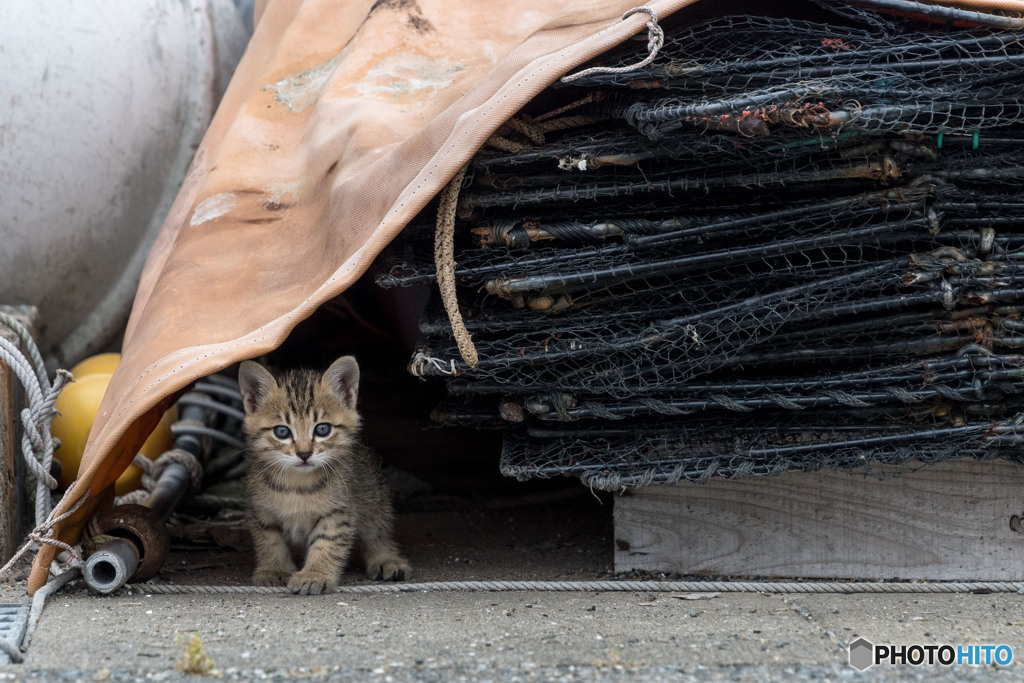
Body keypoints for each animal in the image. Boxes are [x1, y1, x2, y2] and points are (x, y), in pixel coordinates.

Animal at [237, 358, 409, 593]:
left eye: (322, 429)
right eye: (282, 432)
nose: (304, 453)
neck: (297, 483)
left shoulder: (339, 510)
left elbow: (327, 542)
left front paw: (315, 574)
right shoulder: (261, 510)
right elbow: (270, 541)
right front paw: (274, 569)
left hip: (373, 494)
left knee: (377, 530)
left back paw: (385, 559)